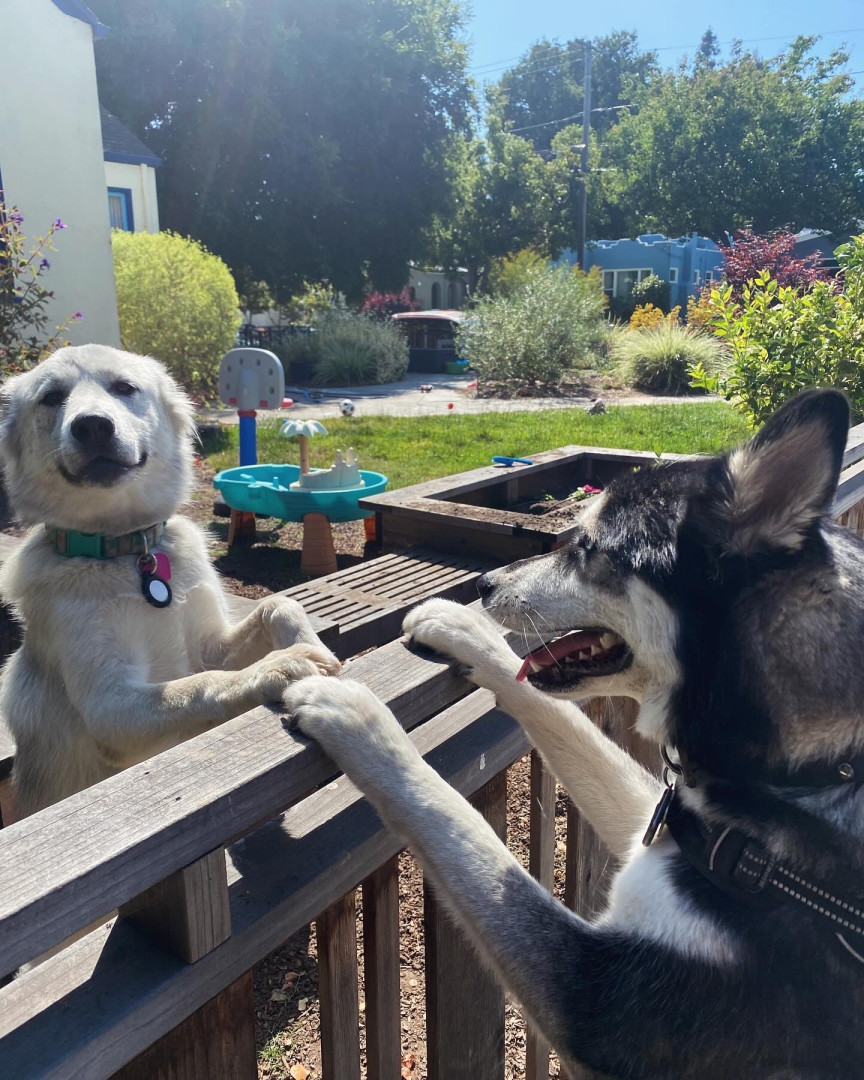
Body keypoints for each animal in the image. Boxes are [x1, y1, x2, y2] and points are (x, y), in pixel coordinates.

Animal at [0, 344, 339, 819]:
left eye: (124, 387)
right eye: (51, 397)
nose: (92, 426)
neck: (128, 551)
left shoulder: (211, 647)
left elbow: (277, 605)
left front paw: (310, 643)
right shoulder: (111, 706)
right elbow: (198, 686)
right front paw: (279, 664)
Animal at [285, 388, 864, 1079]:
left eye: (589, 548)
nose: (484, 584)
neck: (809, 772)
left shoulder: (594, 1001)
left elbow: (454, 818)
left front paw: (357, 715)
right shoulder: (654, 824)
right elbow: (555, 717)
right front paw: (460, 627)